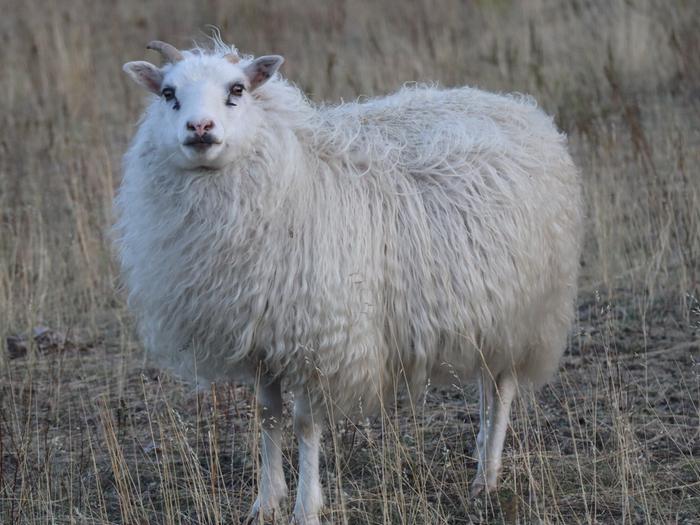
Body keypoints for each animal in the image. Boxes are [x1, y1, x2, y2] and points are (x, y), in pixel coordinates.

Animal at [117, 37, 584, 524]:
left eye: (237, 89)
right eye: (168, 93)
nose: (200, 127)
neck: (291, 173)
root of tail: (517, 106)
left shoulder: (317, 339)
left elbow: (305, 424)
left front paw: (306, 507)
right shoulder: (263, 338)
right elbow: (267, 415)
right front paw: (265, 502)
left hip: (526, 310)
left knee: (503, 388)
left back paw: (486, 476)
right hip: (486, 309)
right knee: (484, 385)